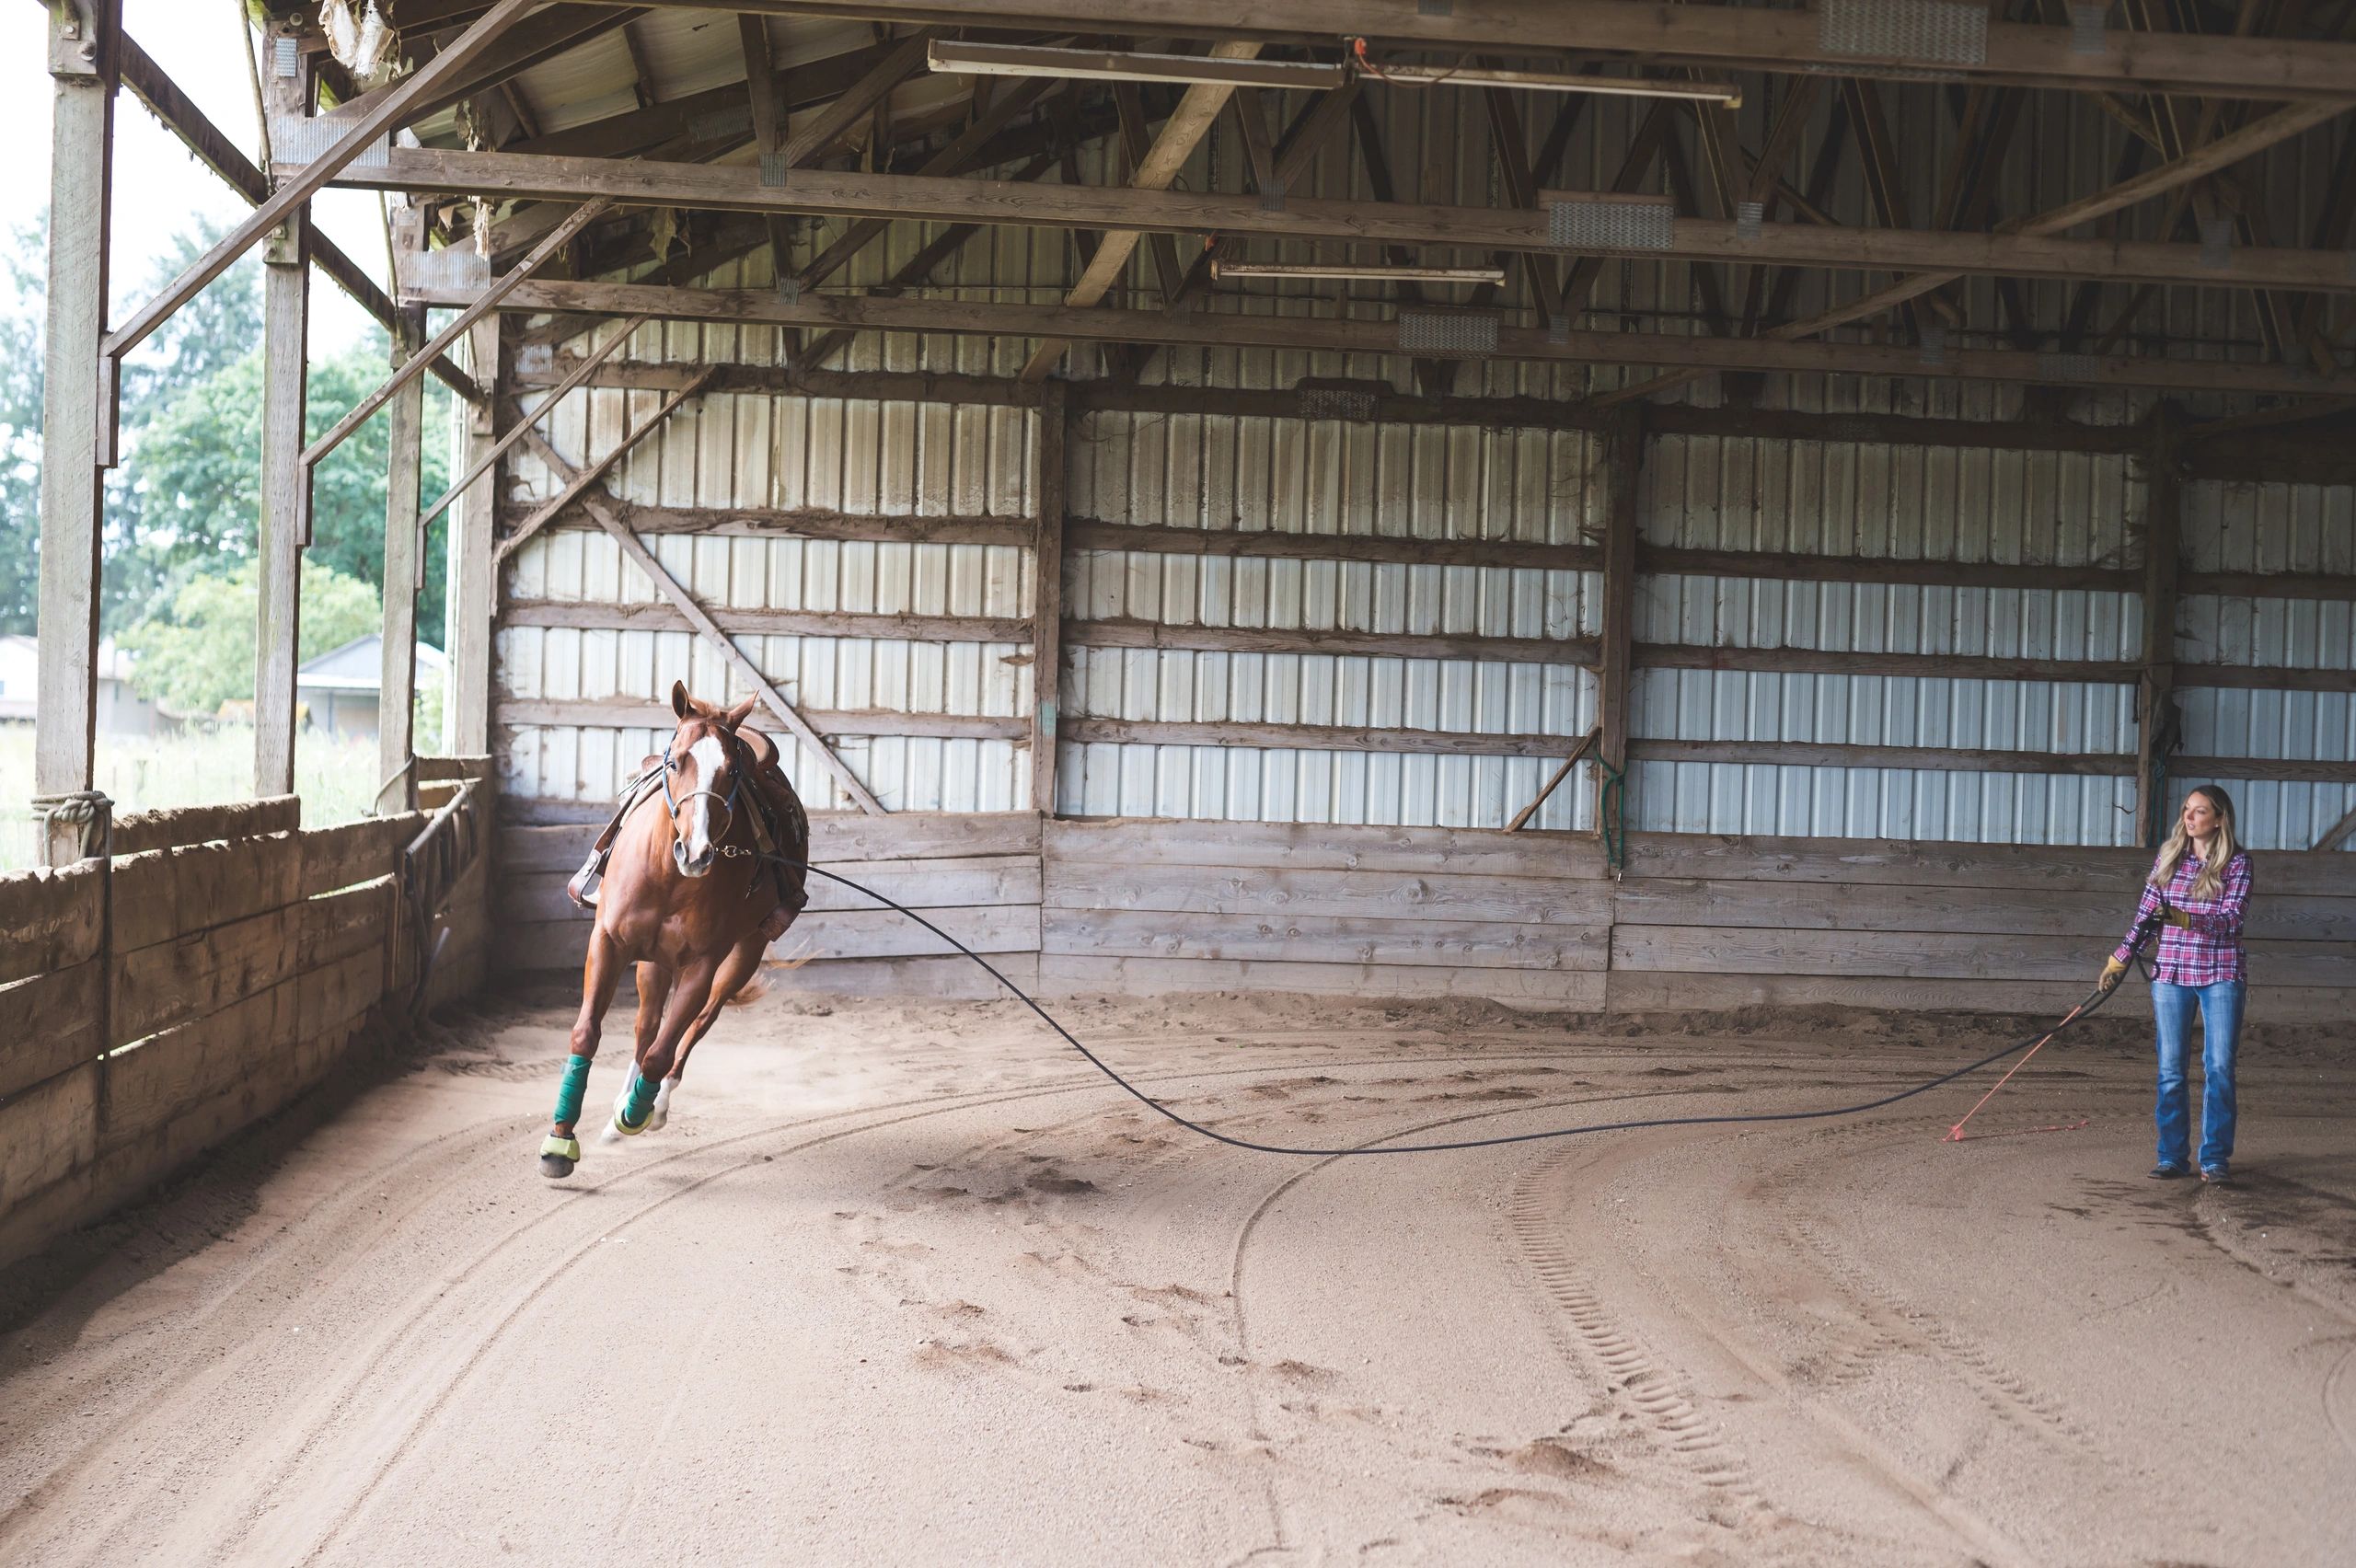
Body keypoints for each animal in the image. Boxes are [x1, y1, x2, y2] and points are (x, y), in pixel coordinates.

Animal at [540, 681, 808, 1178]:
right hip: (653, 961)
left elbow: (664, 1051)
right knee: (646, 1026)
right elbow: (588, 1032)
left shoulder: (703, 965)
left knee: (696, 1024)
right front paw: (559, 1141)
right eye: (673, 763)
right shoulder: (607, 942)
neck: (668, 874)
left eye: (731, 771)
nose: (696, 852)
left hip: (744, 953)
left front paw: (636, 1114)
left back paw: (649, 1105)